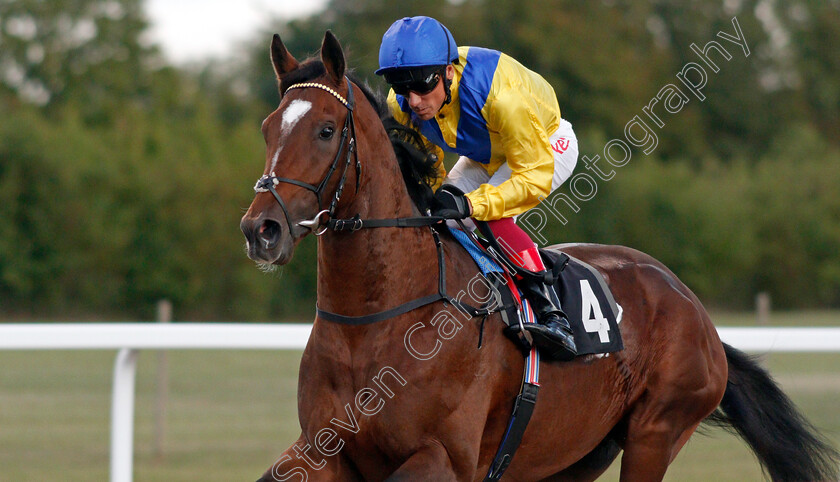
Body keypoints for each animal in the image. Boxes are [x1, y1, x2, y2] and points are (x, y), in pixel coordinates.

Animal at [240, 32, 836, 480]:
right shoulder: (321, 450)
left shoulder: (443, 458)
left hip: (656, 432)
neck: (372, 321)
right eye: (268, 128)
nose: (260, 229)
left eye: (325, 130)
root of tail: (697, 314)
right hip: (573, 456)